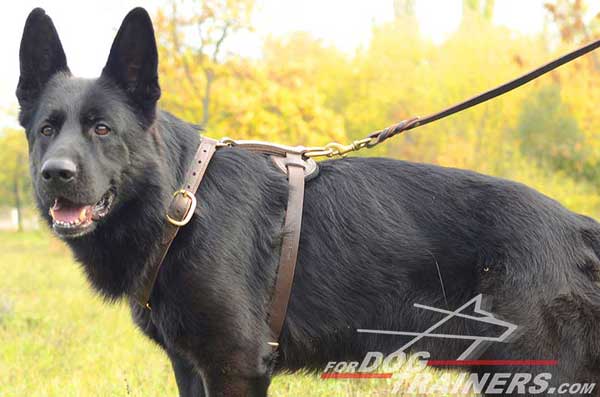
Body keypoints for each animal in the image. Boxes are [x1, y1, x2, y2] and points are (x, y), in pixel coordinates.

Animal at [15, 6, 600, 396]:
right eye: (46, 129)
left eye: (103, 129)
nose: (56, 175)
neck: (181, 200)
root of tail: (577, 226)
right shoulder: (190, 367)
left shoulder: (235, 365)